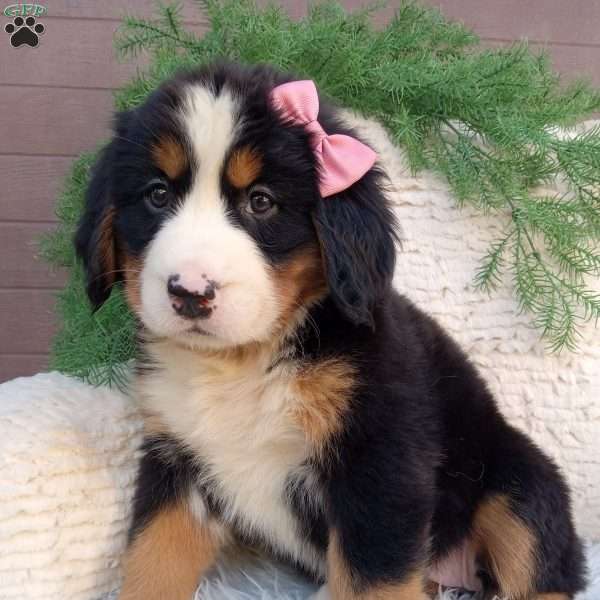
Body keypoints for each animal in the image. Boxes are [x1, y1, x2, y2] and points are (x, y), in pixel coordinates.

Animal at [76, 63, 584, 596]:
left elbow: (373, 580)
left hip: (517, 482)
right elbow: (152, 559)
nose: (190, 291)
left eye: (261, 201)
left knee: (547, 571)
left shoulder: (379, 460)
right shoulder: (177, 459)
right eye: (157, 194)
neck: (242, 361)